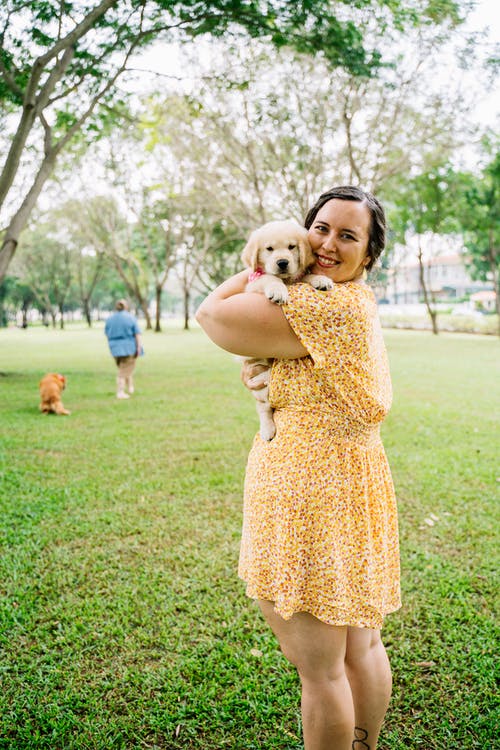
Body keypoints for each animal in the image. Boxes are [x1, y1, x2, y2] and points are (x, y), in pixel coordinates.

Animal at [241, 217, 332, 440]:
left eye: (292, 247)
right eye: (269, 249)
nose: (282, 262)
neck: (286, 280)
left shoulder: (297, 276)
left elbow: (305, 276)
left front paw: (321, 279)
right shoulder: (253, 284)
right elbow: (270, 278)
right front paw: (277, 290)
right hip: (262, 380)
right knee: (263, 407)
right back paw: (267, 430)